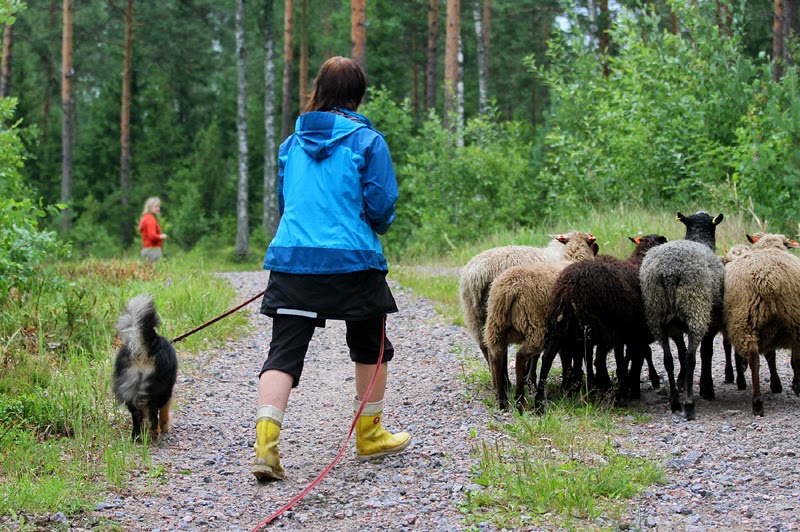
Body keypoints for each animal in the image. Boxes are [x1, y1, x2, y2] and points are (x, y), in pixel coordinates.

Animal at [113, 294, 178, 441]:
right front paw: (165, 427)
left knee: (136, 415)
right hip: (158, 388)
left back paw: (136, 437)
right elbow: (164, 412)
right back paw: (155, 433)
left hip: (129, 385)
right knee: (153, 413)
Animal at [482, 234, 598, 410]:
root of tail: (510, 289)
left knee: (497, 357)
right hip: (534, 325)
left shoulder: (564, 333)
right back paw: (519, 399)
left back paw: (502, 400)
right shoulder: (564, 331)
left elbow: (564, 358)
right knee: (520, 356)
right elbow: (551, 360)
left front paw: (568, 386)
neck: (571, 260)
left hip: (496, 324)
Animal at [532, 234, 668, 413]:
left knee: (548, 357)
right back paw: (611, 392)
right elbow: (636, 357)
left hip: (561, 325)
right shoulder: (634, 333)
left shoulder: (625, 334)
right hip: (603, 328)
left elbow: (624, 358)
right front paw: (632, 388)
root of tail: (569, 286)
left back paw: (540, 400)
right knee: (599, 361)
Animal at [639, 211, 725, 421]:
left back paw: (675, 401)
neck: (698, 238)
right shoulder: (709, 323)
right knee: (691, 358)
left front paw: (681, 382)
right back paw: (689, 405)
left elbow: (679, 352)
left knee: (668, 360)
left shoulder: (676, 328)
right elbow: (705, 353)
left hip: (657, 315)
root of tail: (669, 272)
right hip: (696, 310)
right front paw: (707, 388)